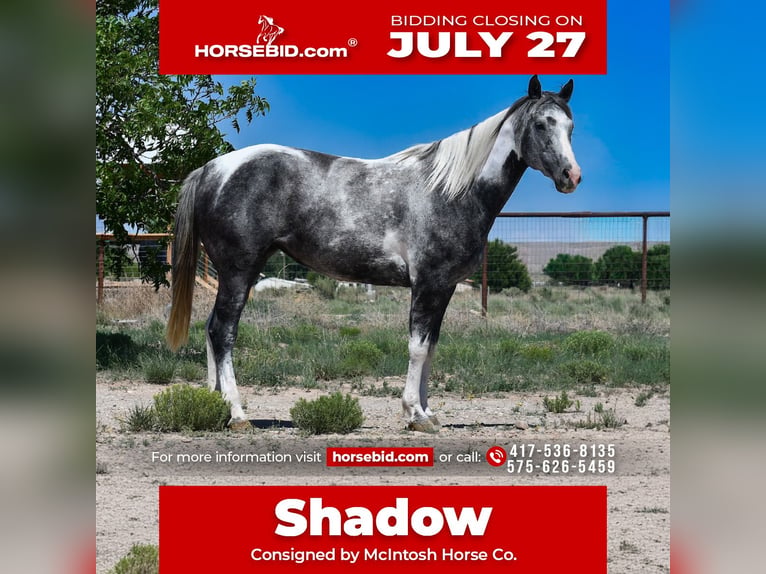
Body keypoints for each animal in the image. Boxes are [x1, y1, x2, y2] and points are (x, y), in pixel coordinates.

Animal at [166, 76, 581, 432]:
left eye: (570, 127)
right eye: (541, 125)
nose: (571, 176)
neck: (450, 191)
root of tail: (211, 169)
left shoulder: (444, 287)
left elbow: (431, 346)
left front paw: (426, 412)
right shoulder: (428, 284)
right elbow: (417, 347)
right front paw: (415, 414)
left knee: (211, 329)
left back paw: (215, 404)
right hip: (239, 270)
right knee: (223, 332)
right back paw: (237, 414)